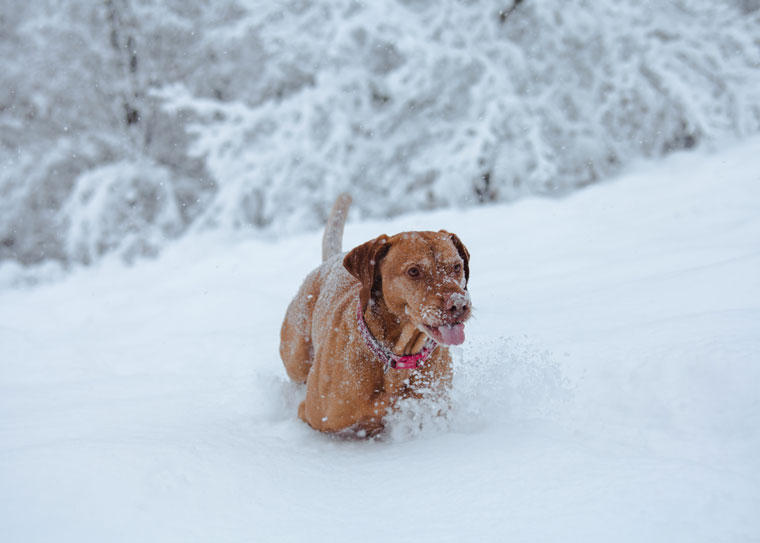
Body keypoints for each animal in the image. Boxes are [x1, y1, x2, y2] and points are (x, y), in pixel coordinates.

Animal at [280, 193, 470, 436]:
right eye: (414, 271)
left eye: (456, 267)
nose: (459, 304)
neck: (396, 355)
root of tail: (330, 260)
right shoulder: (314, 416)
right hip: (296, 356)